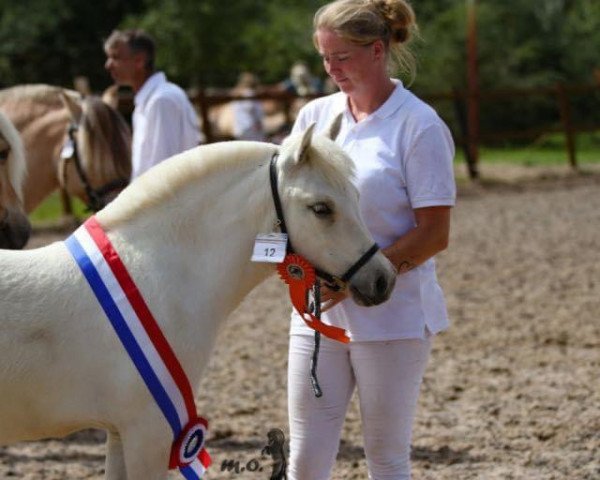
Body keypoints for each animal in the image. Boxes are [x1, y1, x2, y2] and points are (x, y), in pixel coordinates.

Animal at [0, 124, 396, 480]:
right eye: (321, 208)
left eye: (355, 198)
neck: (154, 278)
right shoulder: (149, 432)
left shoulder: (119, 432)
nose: (383, 279)